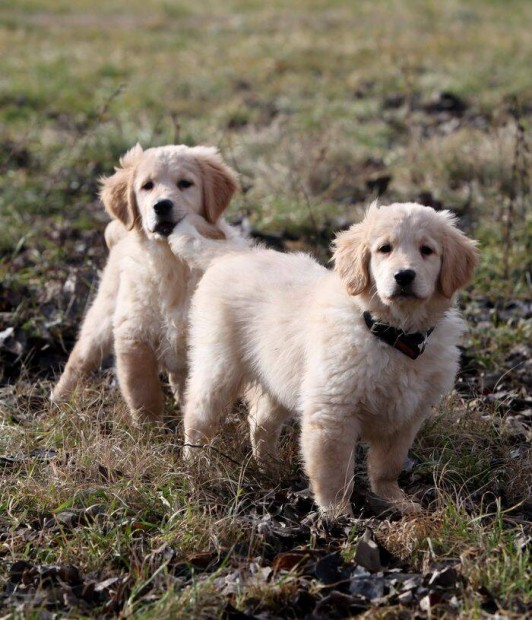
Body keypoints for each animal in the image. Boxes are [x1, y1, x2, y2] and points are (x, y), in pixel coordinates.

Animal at [51, 143, 242, 424]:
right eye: (147, 186)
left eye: (185, 183)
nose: (161, 206)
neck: (172, 263)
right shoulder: (133, 335)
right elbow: (144, 393)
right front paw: (149, 430)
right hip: (103, 314)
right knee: (80, 359)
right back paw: (58, 398)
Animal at [167, 202, 478, 512]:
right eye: (384, 249)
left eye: (427, 250)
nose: (404, 276)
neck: (393, 334)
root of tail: (232, 255)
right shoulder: (332, 411)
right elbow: (334, 470)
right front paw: (337, 512)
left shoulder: (406, 416)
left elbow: (387, 466)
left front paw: (395, 500)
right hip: (219, 363)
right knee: (198, 414)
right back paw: (197, 464)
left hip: (278, 375)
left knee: (260, 421)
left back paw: (270, 468)